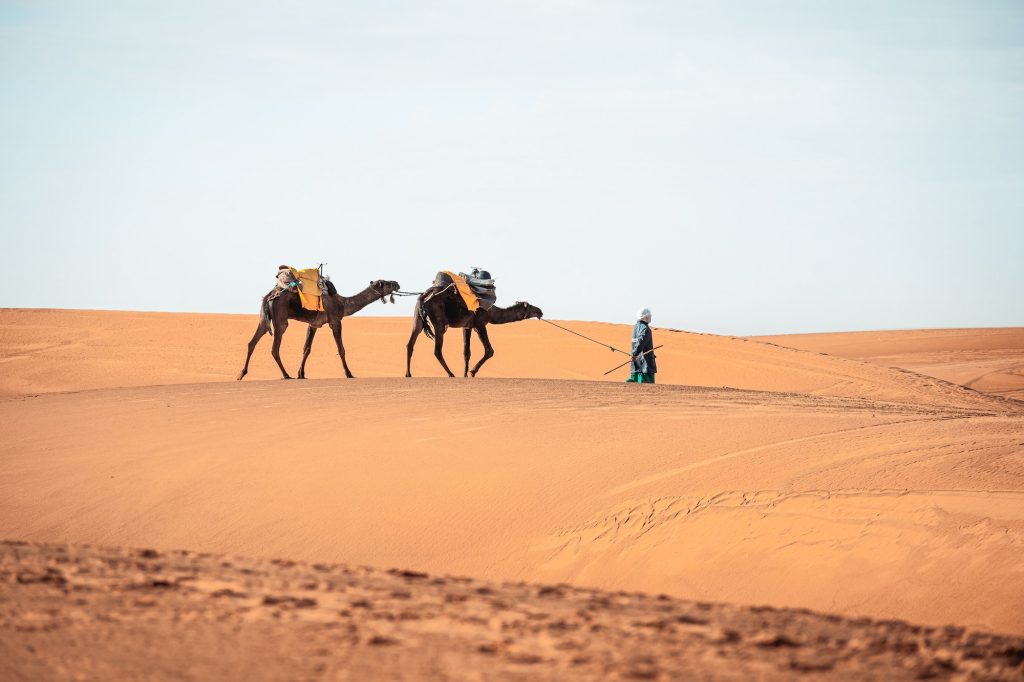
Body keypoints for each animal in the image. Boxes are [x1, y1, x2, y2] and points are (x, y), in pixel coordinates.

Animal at [238, 278, 399, 382]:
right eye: (386, 283)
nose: (397, 283)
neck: (343, 303)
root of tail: (269, 296)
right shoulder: (335, 321)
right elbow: (341, 349)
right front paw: (349, 374)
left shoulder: (313, 324)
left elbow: (307, 349)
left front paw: (301, 374)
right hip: (280, 320)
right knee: (274, 349)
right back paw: (286, 375)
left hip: (263, 319)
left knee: (252, 342)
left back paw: (241, 373)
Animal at [405, 280, 544, 376]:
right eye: (531, 307)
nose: (540, 311)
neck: (491, 312)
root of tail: (424, 297)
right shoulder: (480, 325)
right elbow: (489, 350)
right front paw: (472, 372)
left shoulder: (467, 326)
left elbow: (466, 352)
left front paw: (465, 374)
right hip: (439, 321)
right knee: (437, 350)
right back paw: (451, 374)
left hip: (417, 316)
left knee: (410, 343)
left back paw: (408, 374)